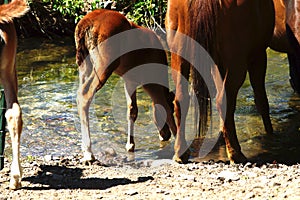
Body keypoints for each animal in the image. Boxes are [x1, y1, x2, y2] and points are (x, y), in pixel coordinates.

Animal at [75, 9, 177, 162]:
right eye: (173, 108)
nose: (166, 134)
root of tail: (85, 24)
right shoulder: (148, 81)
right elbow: (164, 107)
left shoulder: (129, 79)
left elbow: (132, 110)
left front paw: (130, 145)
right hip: (104, 64)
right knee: (85, 95)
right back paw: (88, 152)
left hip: (84, 64)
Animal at [166, 0, 274, 164]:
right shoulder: (258, 54)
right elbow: (261, 99)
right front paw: (270, 133)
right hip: (236, 60)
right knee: (224, 100)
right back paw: (236, 154)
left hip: (178, 54)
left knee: (181, 100)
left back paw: (180, 153)